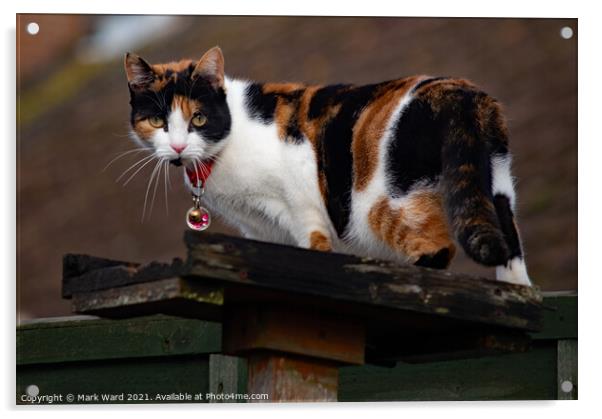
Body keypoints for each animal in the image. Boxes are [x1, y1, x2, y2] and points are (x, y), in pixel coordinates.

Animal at [122, 46, 528, 288]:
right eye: (158, 121)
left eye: (199, 119)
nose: (177, 146)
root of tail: (458, 90)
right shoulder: (262, 231)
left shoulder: (305, 214)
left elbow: (314, 250)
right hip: (494, 184)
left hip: (381, 203)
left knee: (437, 247)